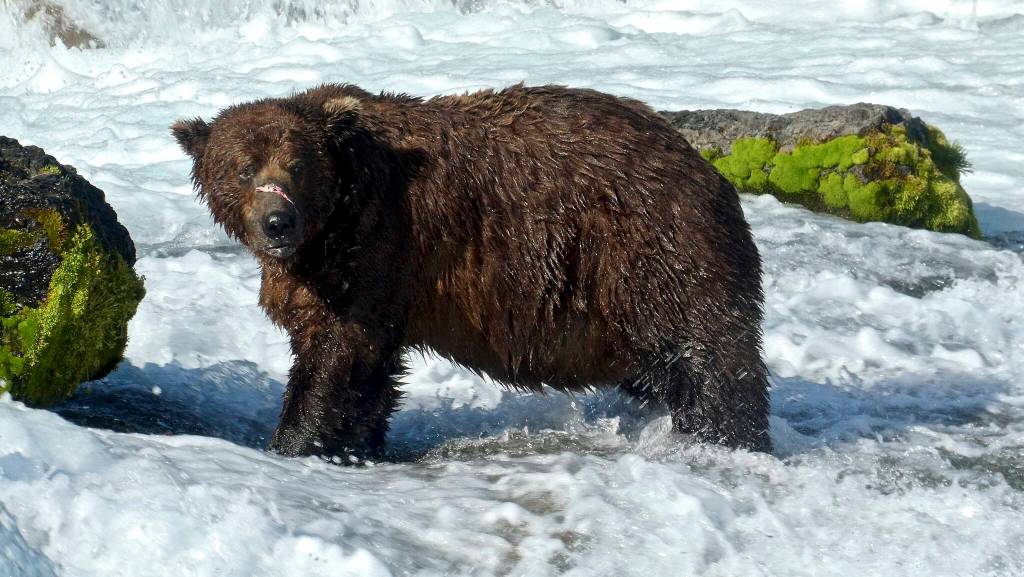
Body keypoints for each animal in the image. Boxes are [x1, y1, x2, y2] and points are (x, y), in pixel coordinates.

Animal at [171, 83, 771, 459]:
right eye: (243, 169)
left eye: (297, 166)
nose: (278, 223)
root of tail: (706, 167)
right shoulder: (369, 279)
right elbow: (369, 370)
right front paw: (355, 443)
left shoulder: (377, 241)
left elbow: (335, 358)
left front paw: (293, 441)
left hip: (652, 254)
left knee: (711, 359)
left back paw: (730, 438)